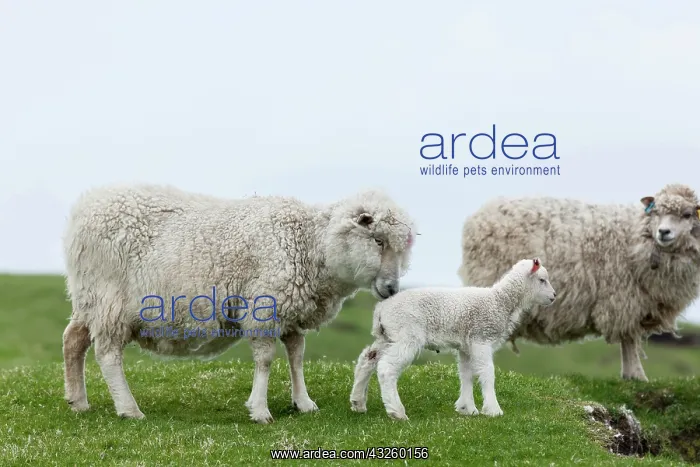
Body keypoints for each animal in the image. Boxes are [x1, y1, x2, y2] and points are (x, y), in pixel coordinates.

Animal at [62, 184, 416, 423]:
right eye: (378, 240)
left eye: (403, 248)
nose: (391, 288)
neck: (309, 244)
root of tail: (84, 208)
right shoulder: (264, 307)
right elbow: (266, 360)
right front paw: (259, 410)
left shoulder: (290, 311)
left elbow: (297, 356)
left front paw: (303, 403)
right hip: (110, 302)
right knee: (108, 354)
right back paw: (128, 408)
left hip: (89, 299)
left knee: (73, 340)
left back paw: (78, 401)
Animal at [349, 258, 556, 420]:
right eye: (542, 280)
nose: (554, 296)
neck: (501, 302)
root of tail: (381, 310)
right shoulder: (481, 339)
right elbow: (487, 372)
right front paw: (493, 409)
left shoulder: (466, 345)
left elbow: (466, 374)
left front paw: (467, 408)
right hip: (406, 335)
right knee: (386, 368)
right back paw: (397, 412)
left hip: (387, 336)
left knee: (367, 359)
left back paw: (358, 402)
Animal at [457, 183, 700, 382]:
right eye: (656, 212)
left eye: (688, 214)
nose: (663, 232)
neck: (635, 237)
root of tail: (479, 215)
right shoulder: (623, 300)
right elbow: (629, 340)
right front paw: (636, 376)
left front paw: (632, 376)